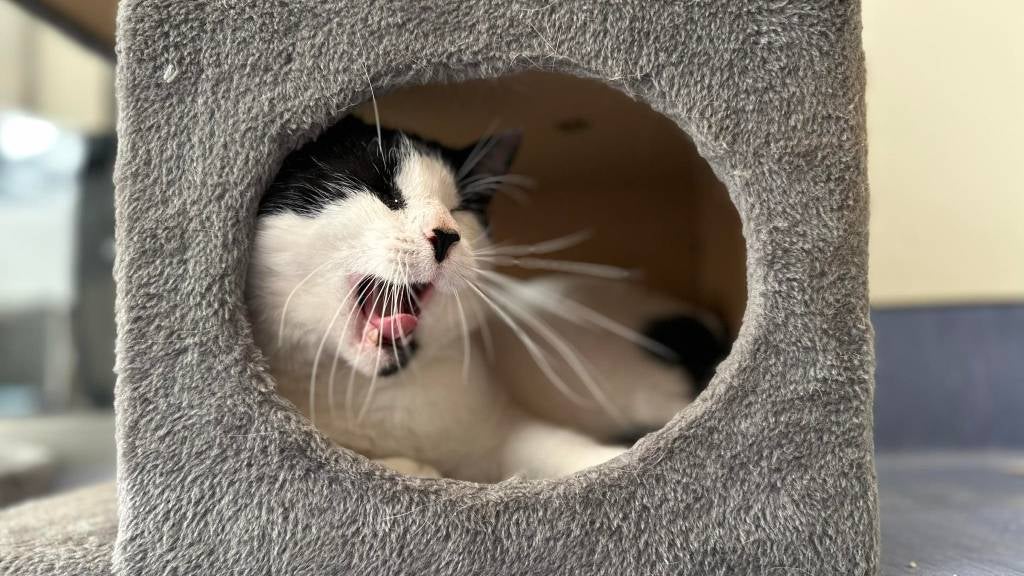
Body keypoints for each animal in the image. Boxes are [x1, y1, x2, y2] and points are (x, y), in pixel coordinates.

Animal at [246, 114, 729, 481]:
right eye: (383, 191)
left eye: (461, 208)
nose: (446, 235)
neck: (372, 395)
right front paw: (414, 468)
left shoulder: (505, 428)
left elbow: (562, 449)